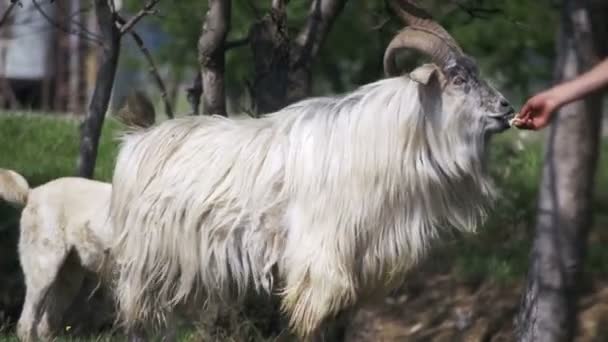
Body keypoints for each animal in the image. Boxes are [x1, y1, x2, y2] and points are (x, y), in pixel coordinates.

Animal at [108, 2, 512, 340]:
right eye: (458, 80)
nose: (506, 108)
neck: (377, 143)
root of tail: (136, 141)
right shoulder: (321, 265)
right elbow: (315, 323)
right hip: (145, 263)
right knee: (138, 317)